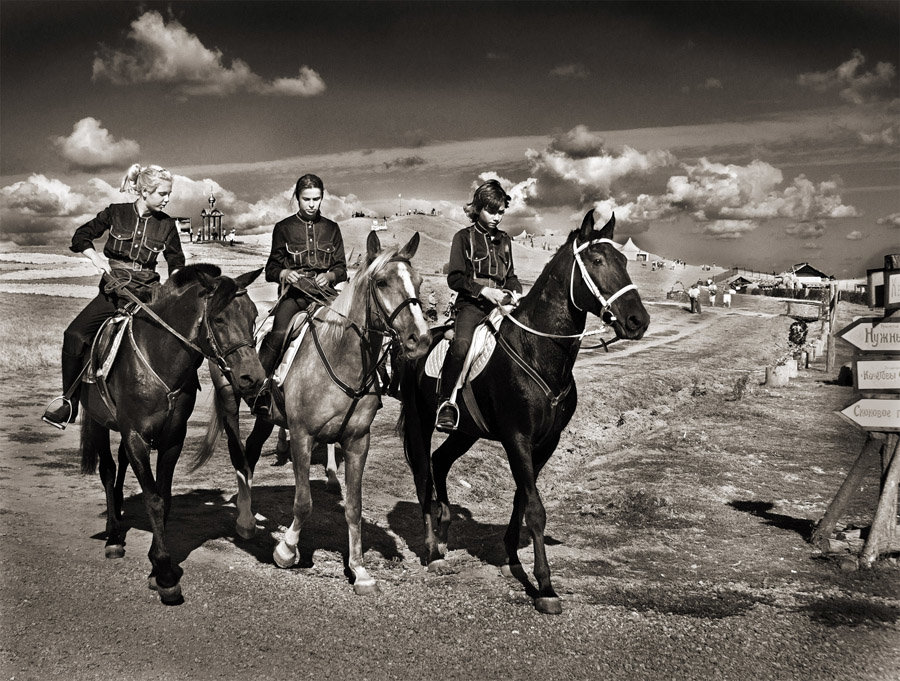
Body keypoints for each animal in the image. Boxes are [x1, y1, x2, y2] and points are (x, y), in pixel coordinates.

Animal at [78, 262, 264, 604]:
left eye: (253, 315)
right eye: (219, 318)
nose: (253, 378)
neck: (159, 358)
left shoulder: (172, 438)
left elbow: (164, 497)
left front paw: (155, 566)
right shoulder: (136, 435)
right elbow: (153, 499)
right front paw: (164, 573)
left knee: (120, 465)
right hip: (98, 424)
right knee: (108, 471)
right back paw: (113, 535)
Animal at [196, 231, 432, 592]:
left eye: (418, 282)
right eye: (381, 282)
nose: (420, 339)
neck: (341, 358)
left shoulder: (358, 441)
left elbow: (354, 506)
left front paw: (360, 570)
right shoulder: (302, 434)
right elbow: (304, 502)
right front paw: (286, 550)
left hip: (267, 415)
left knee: (251, 451)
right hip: (228, 397)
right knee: (239, 454)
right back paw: (245, 520)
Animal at [398, 210, 652, 612]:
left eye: (626, 261)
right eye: (597, 260)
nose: (637, 321)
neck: (537, 350)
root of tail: (417, 341)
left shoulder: (545, 442)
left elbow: (522, 497)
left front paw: (511, 558)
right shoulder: (517, 437)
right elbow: (535, 508)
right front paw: (545, 586)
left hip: (466, 432)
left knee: (440, 462)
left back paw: (445, 529)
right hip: (421, 422)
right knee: (424, 473)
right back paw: (433, 551)